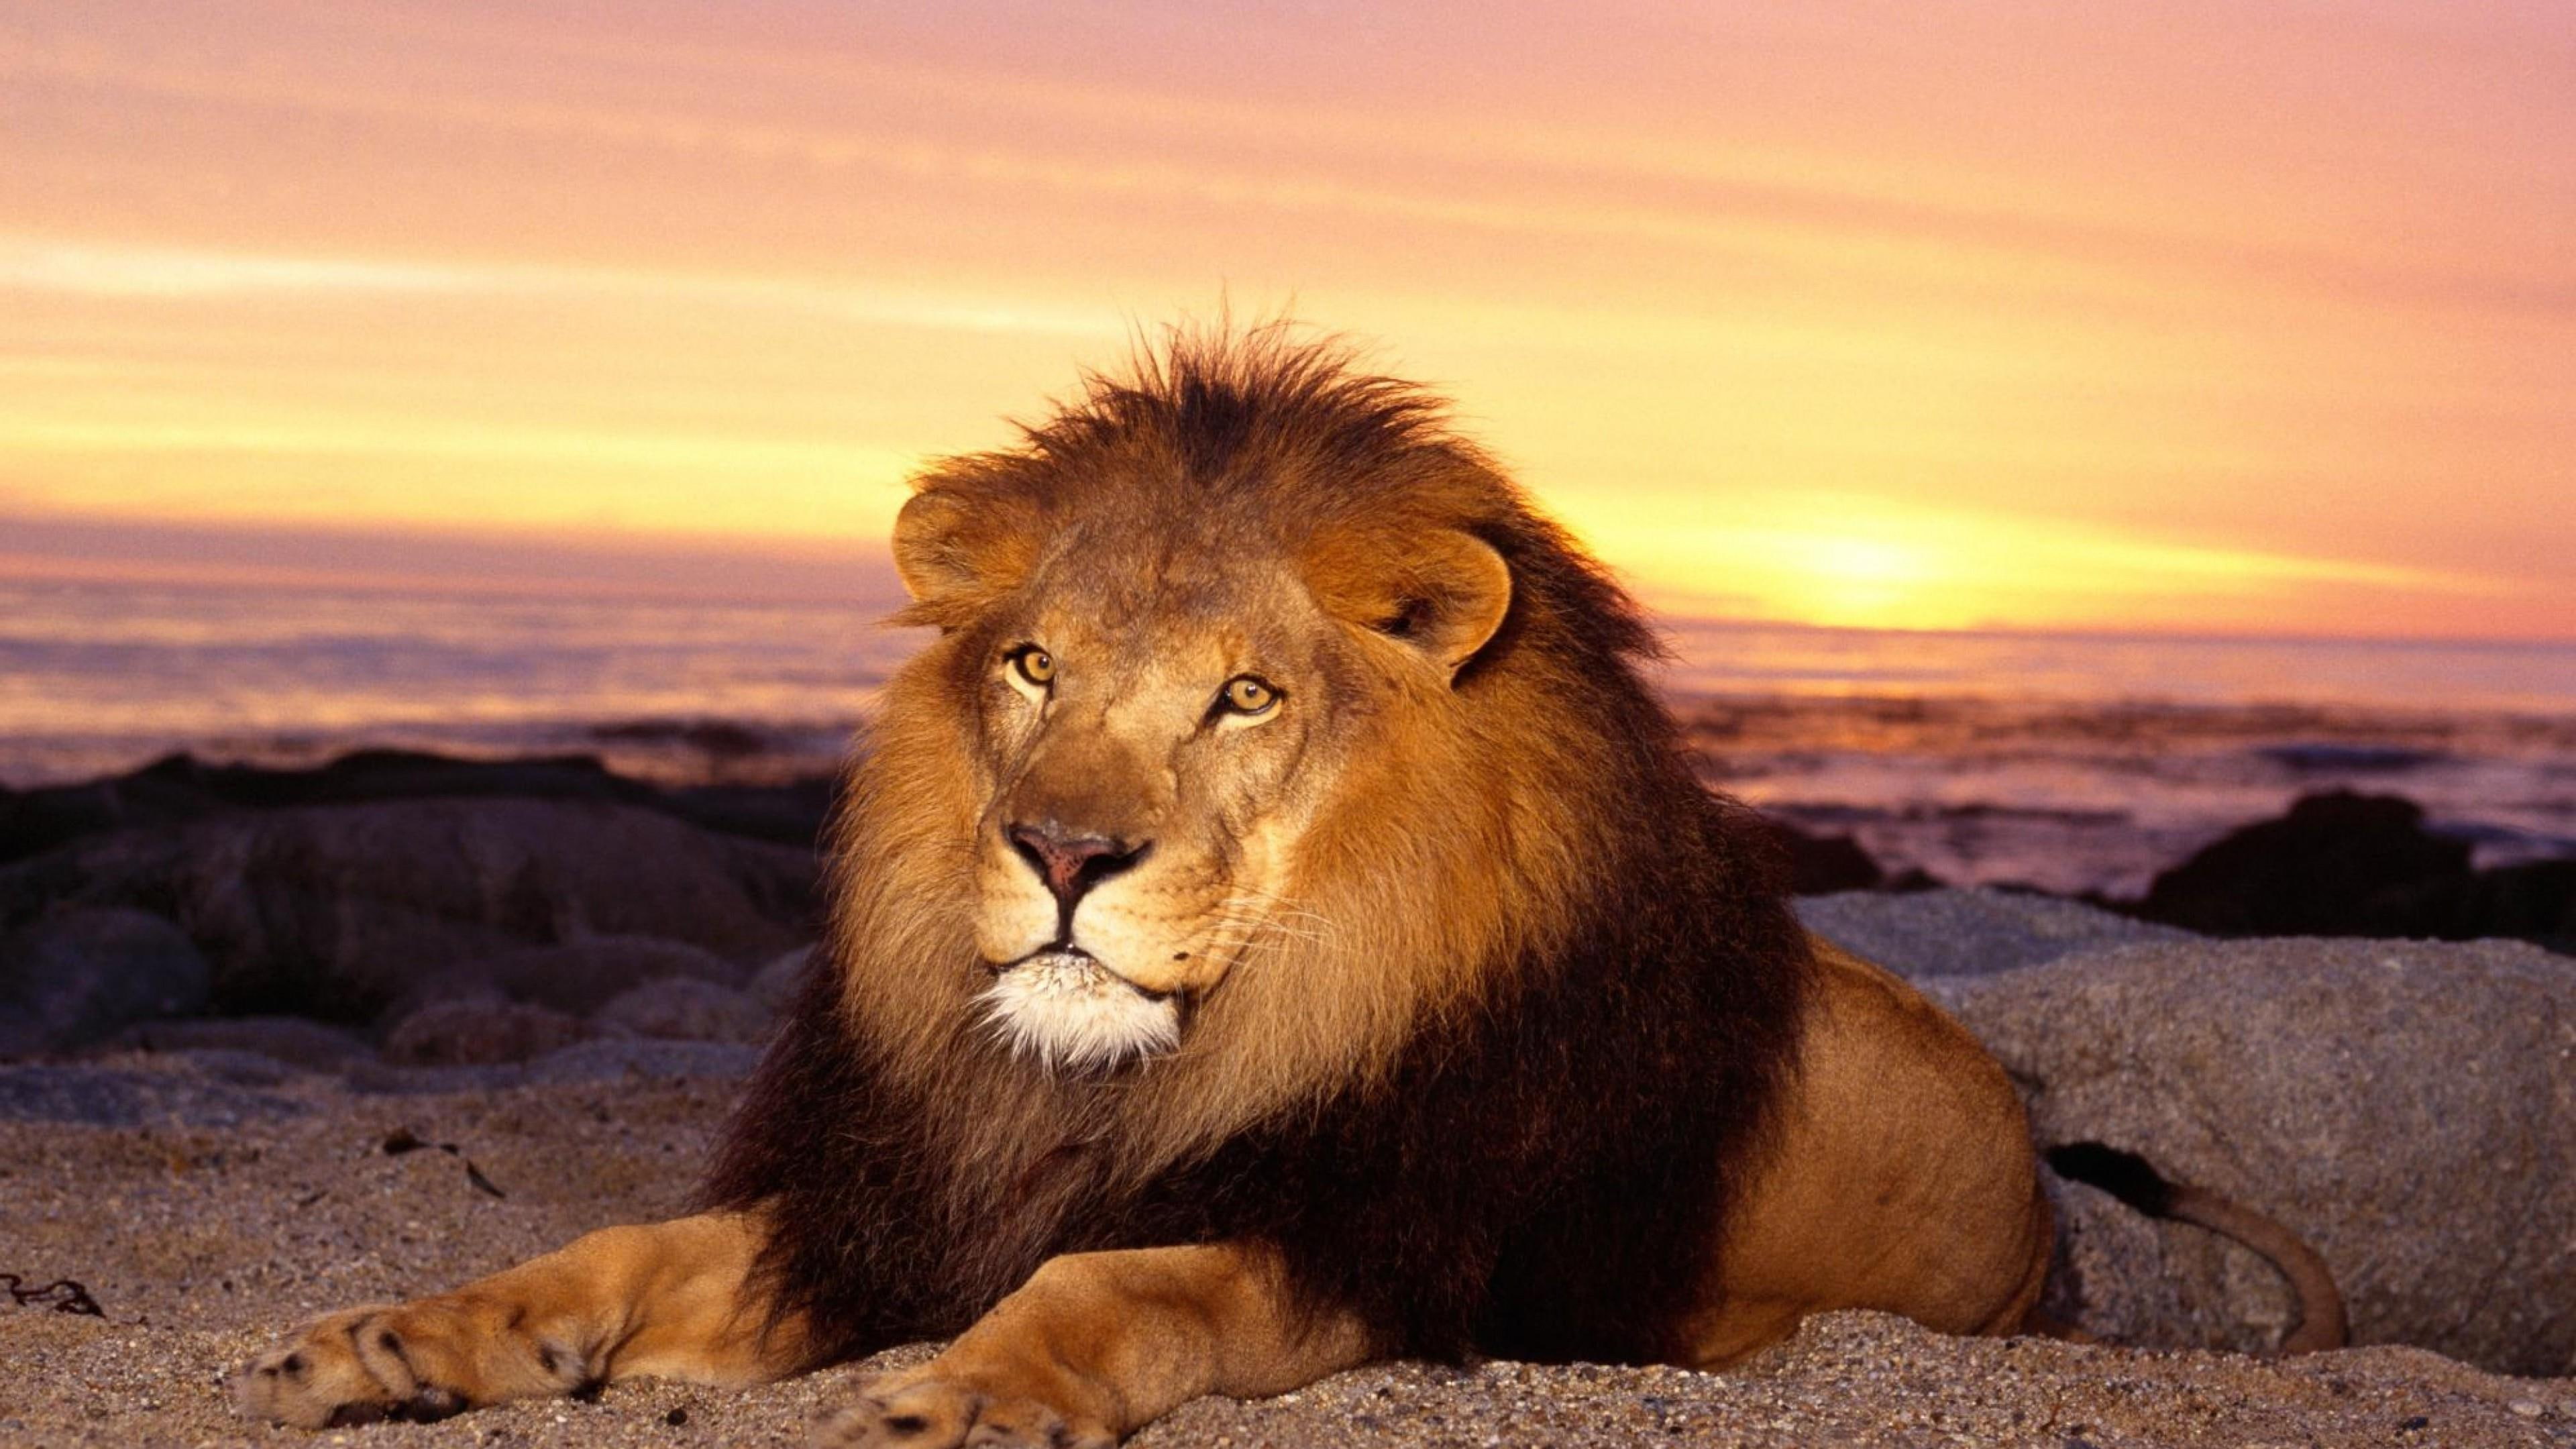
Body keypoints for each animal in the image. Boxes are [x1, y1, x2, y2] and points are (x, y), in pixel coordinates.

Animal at [235, 330, 2340, 1445]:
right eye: (1033, 669)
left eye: (1242, 696)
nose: (1062, 853)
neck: (1122, 1078)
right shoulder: (891, 1197)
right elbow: (612, 1252)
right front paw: (400, 1337)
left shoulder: (1377, 1242)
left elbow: (1122, 1279)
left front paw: (959, 1396)